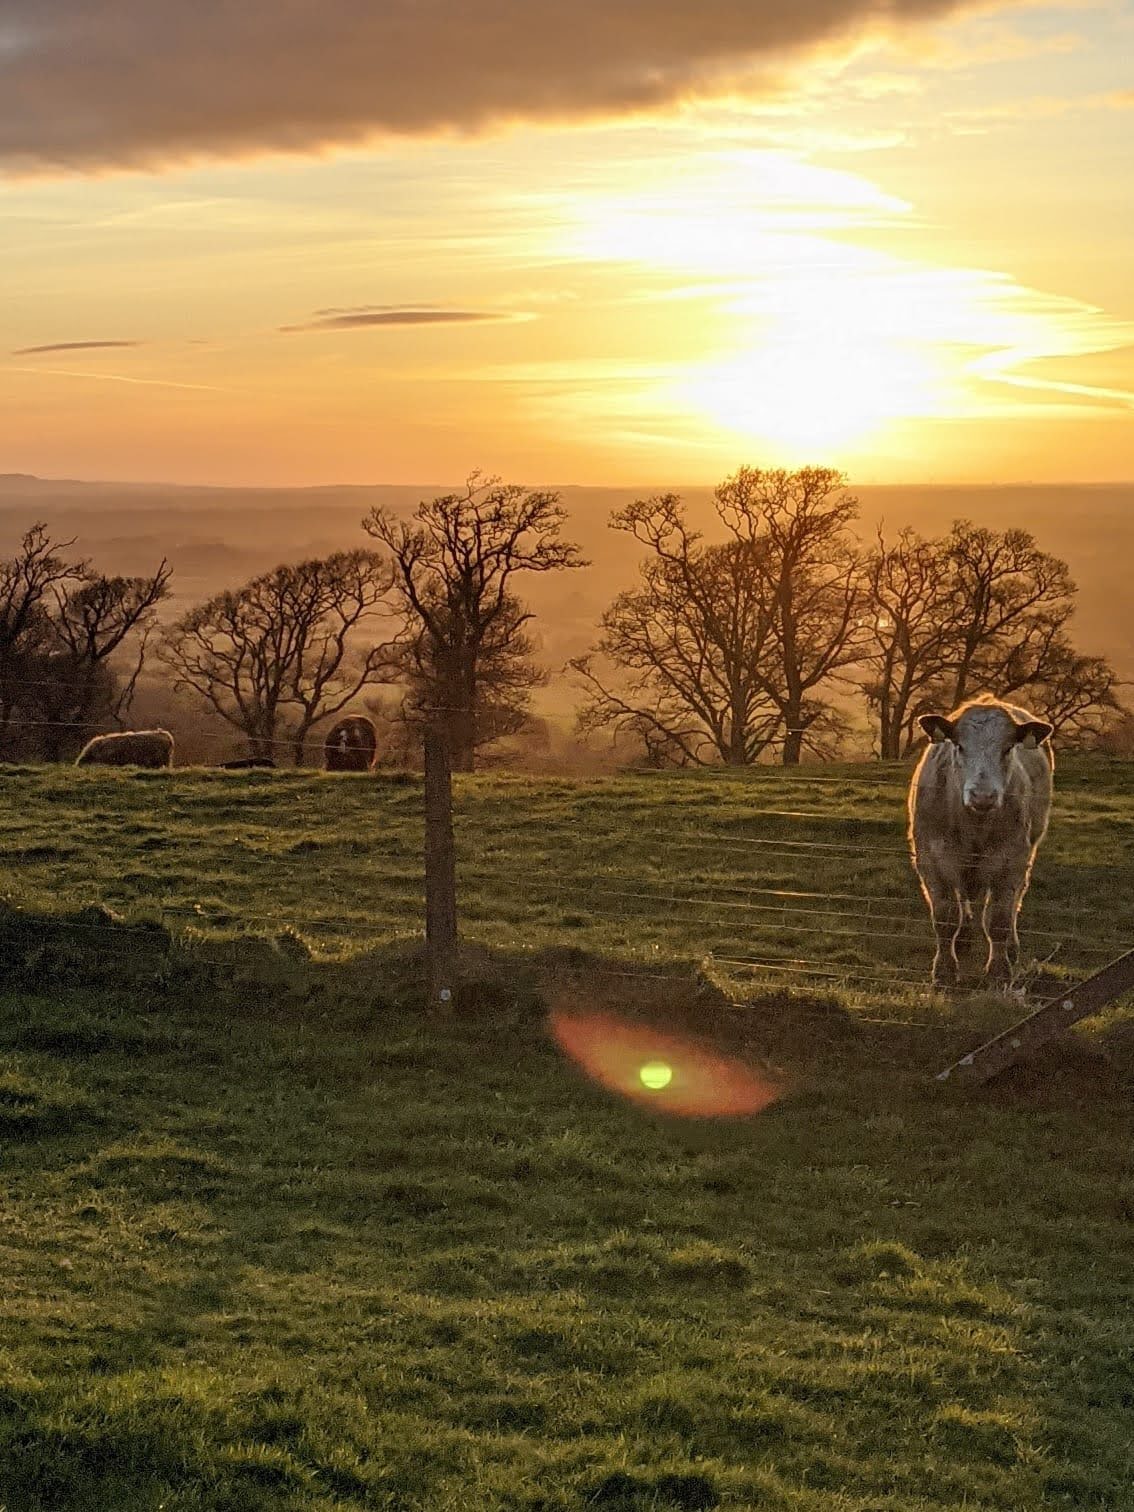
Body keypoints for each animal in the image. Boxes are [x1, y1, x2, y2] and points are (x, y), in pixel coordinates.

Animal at [907, 698, 1058, 991]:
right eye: (959, 746)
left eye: (1008, 748)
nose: (982, 795)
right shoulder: (932, 860)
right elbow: (945, 918)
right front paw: (944, 971)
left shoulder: (1011, 861)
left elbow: (998, 921)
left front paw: (999, 972)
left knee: (1014, 902)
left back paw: (1010, 947)